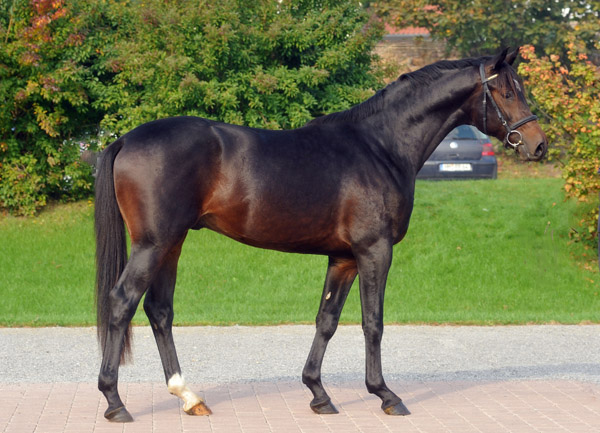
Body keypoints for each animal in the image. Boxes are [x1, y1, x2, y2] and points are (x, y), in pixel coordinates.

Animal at [95, 48, 548, 422]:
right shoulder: (374, 251)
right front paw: (385, 394)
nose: (538, 145)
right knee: (121, 302)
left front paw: (318, 393)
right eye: (507, 92)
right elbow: (373, 322)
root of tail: (125, 139)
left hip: (171, 244)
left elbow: (326, 320)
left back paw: (189, 397)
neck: (380, 146)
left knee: (159, 311)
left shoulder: (343, 258)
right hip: (154, 244)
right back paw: (115, 402)